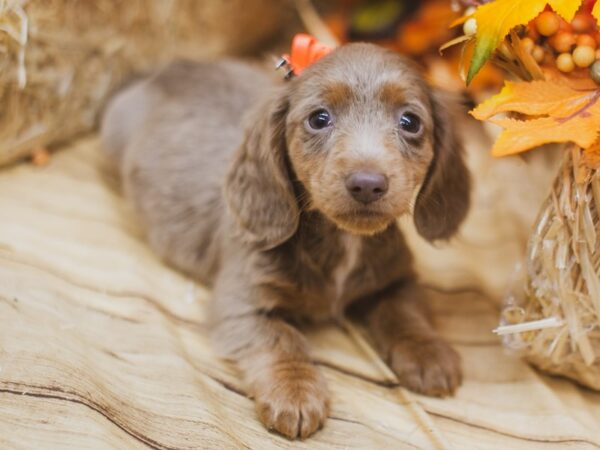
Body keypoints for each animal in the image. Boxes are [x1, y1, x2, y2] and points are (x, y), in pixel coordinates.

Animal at [101, 44, 472, 440]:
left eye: (410, 122)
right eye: (319, 118)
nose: (367, 183)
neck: (342, 243)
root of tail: (164, 70)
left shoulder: (398, 278)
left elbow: (404, 310)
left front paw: (427, 352)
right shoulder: (243, 304)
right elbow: (281, 339)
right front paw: (294, 391)